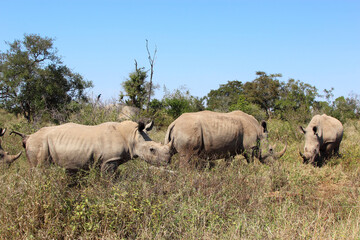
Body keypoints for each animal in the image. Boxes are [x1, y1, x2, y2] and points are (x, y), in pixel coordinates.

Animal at [11, 121, 172, 173]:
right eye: (152, 149)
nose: (167, 162)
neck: (132, 136)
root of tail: (29, 136)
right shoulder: (109, 160)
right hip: (39, 143)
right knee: (40, 169)